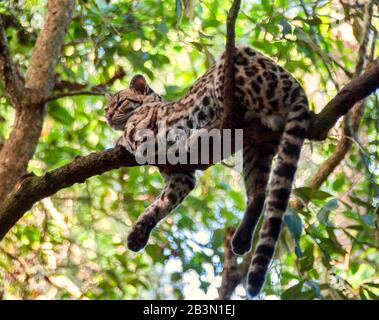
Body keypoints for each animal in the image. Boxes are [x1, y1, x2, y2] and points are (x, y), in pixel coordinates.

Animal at [104, 45, 312, 298]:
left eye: (120, 102)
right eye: (106, 107)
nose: (107, 115)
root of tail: (296, 86)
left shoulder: (145, 136)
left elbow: (128, 135)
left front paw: (117, 140)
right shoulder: (180, 176)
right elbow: (160, 205)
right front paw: (138, 233)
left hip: (232, 66)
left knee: (233, 112)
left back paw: (204, 129)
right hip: (257, 149)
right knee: (259, 193)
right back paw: (241, 238)